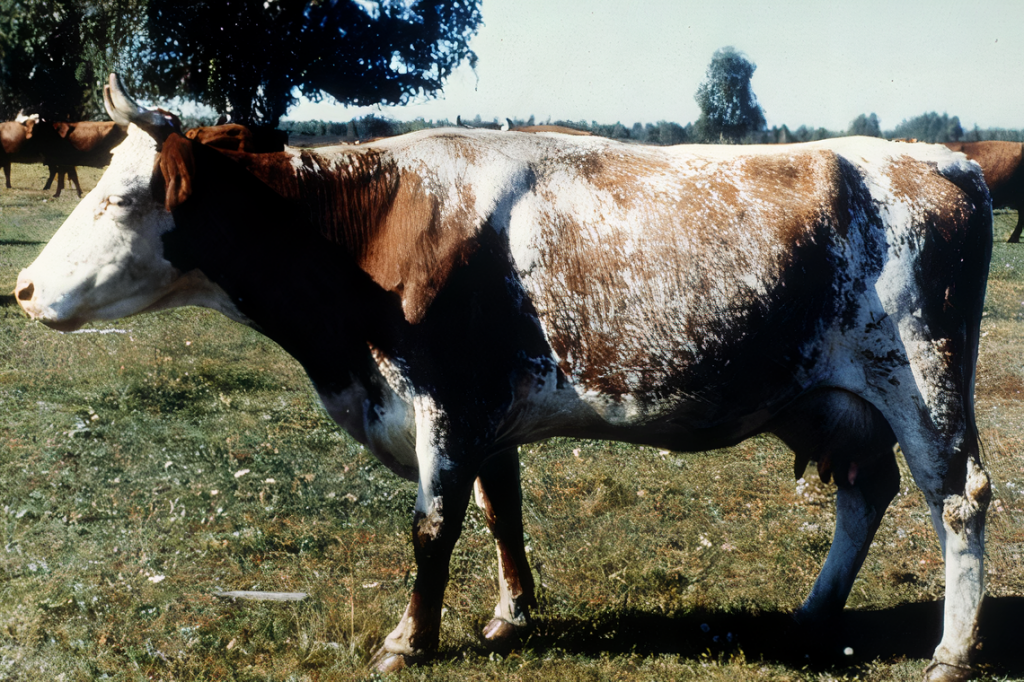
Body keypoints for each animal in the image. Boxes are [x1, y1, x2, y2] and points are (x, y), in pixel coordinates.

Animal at [14, 74, 991, 679]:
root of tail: (945, 161)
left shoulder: (446, 399)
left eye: (121, 199)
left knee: (959, 498)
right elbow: (500, 512)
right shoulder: (488, 413)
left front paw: (410, 640)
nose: (21, 288)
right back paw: (815, 612)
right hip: (835, 399)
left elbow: (433, 527)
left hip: (926, 376)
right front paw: (509, 615)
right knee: (866, 491)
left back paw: (953, 650)